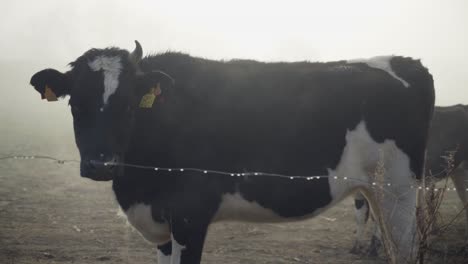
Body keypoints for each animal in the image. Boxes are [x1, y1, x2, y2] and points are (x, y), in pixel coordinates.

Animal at [30, 41, 436, 264]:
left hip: (398, 189)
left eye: (129, 105)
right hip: (378, 191)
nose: (101, 165)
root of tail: (406, 61)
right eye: (75, 104)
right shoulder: (163, 221)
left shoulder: (190, 216)